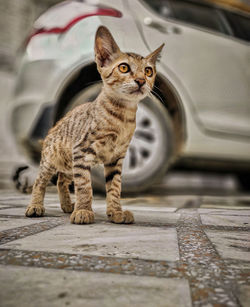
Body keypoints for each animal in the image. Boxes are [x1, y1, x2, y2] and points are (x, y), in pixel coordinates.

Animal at [25, 25, 164, 225]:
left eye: (148, 71)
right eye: (124, 67)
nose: (141, 80)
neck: (123, 117)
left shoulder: (115, 158)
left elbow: (115, 187)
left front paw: (116, 212)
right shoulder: (81, 151)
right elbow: (85, 186)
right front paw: (84, 210)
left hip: (69, 163)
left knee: (61, 180)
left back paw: (67, 205)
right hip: (52, 159)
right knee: (40, 181)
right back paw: (36, 206)